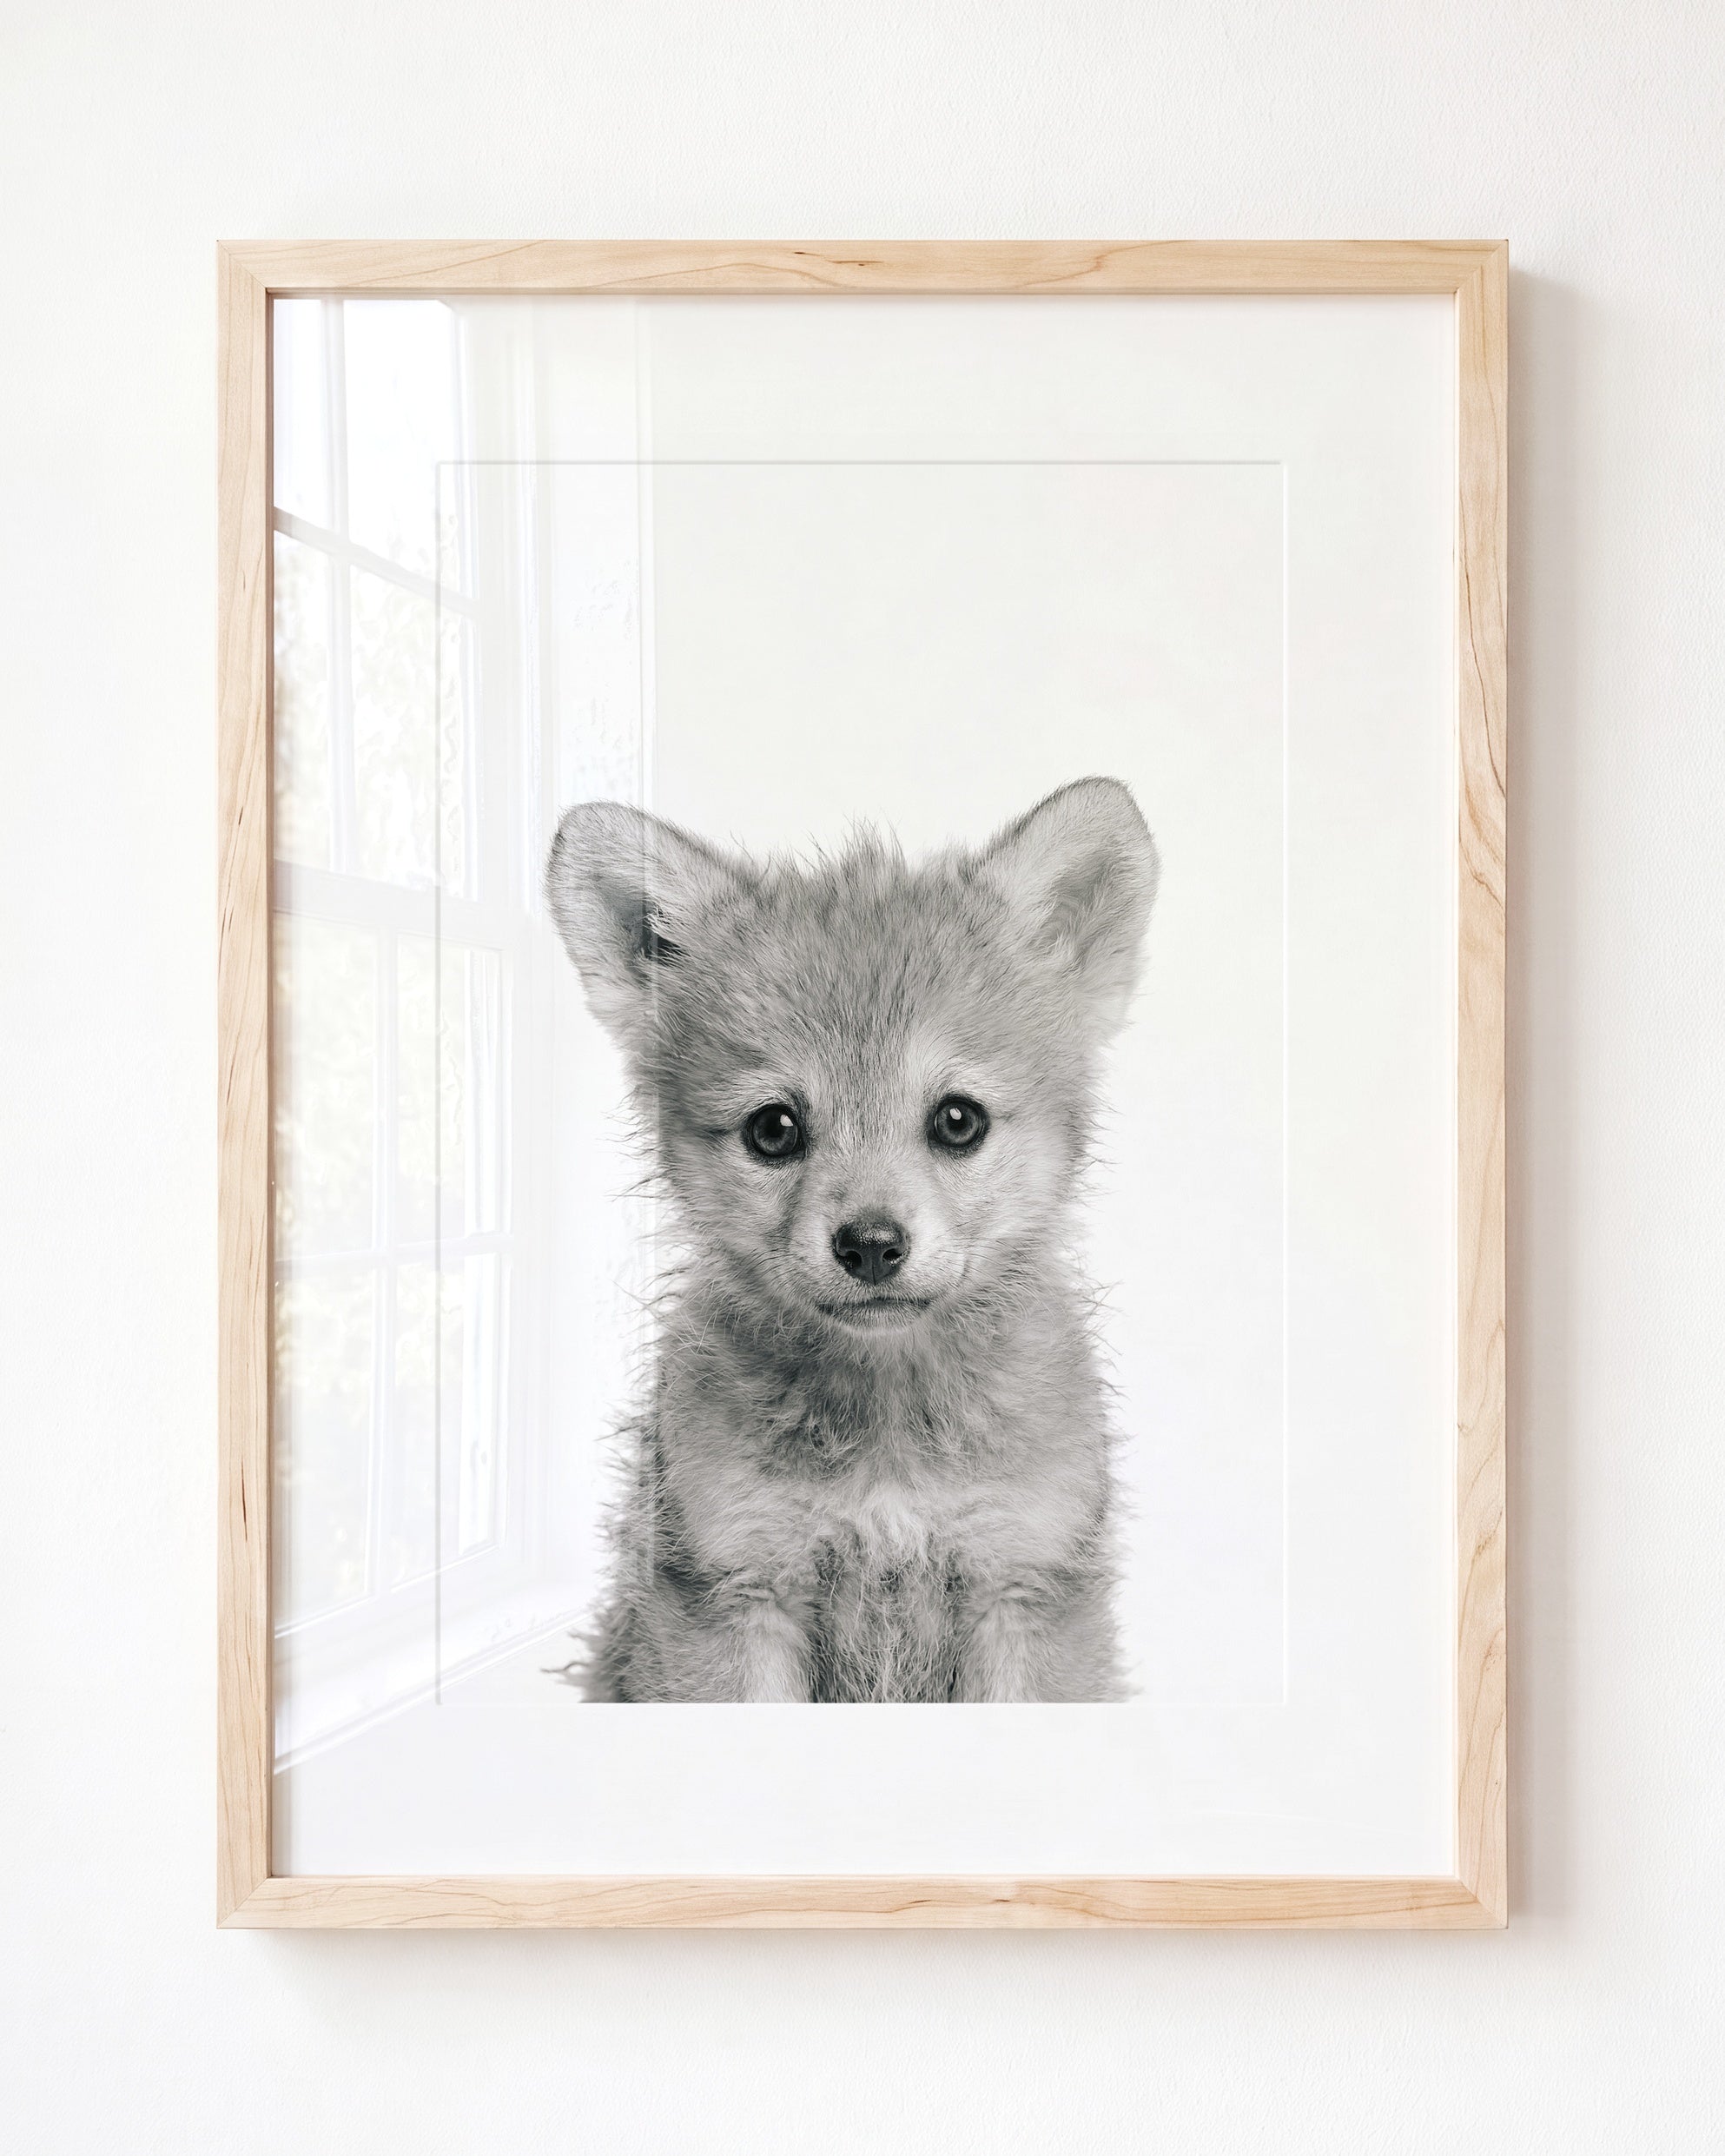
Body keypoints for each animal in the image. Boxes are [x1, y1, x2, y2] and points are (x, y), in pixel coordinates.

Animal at [544, 776, 1159, 1702]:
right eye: (773, 1130)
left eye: (957, 1120)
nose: (871, 1246)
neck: (888, 1440)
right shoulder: (736, 1593)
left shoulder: (1022, 1586)